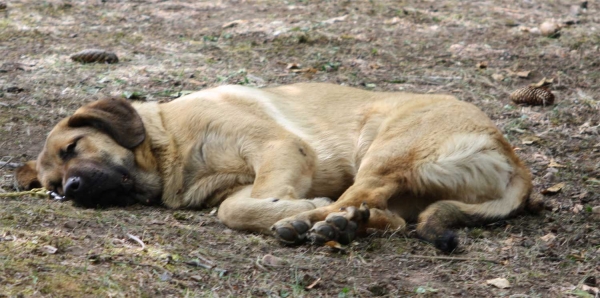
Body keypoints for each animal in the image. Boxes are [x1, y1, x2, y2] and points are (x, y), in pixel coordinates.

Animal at [14, 82, 540, 251]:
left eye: (73, 146)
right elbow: (235, 208)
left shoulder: (279, 147)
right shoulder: (239, 185)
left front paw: (296, 207)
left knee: (357, 198)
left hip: (385, 149)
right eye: (53, 187)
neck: (172, 147)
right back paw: (343, 225)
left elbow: (241, 208)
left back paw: (318, 222)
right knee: (384, 215)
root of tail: (513, 160)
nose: (73, 189)